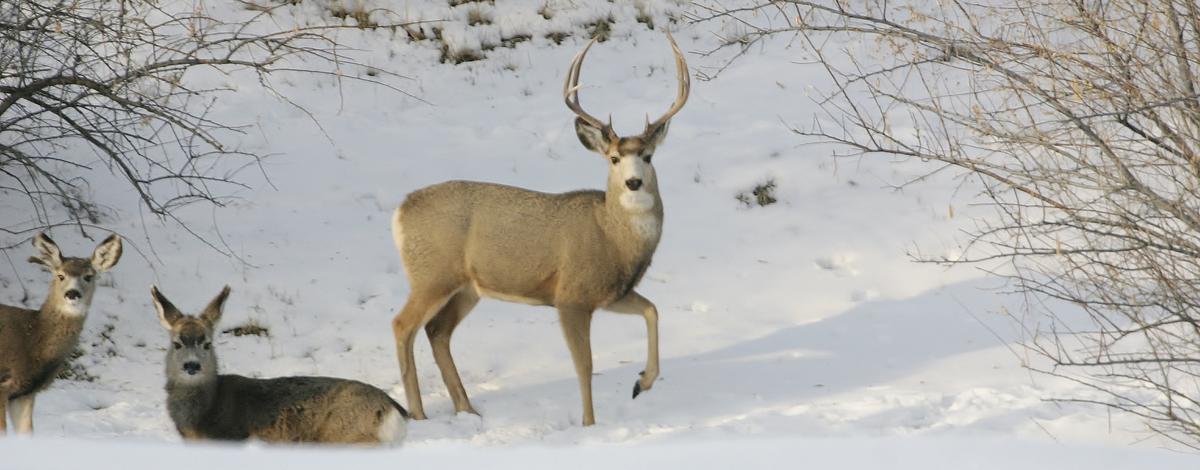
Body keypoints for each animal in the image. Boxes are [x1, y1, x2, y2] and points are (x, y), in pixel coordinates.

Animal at [391, 31, 691, 424]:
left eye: (648, 156)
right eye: (613, 158)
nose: (634, 183)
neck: (612, 238)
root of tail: (400, 211)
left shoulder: (610, 293)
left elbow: (652, 310)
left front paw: (642, 382)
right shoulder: (570, 295)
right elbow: (584, 365)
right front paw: (589, 424)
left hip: (467, 287)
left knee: (437, 331)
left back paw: (467, 410)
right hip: (431, 274)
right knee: (403, 326)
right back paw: (419, 414)